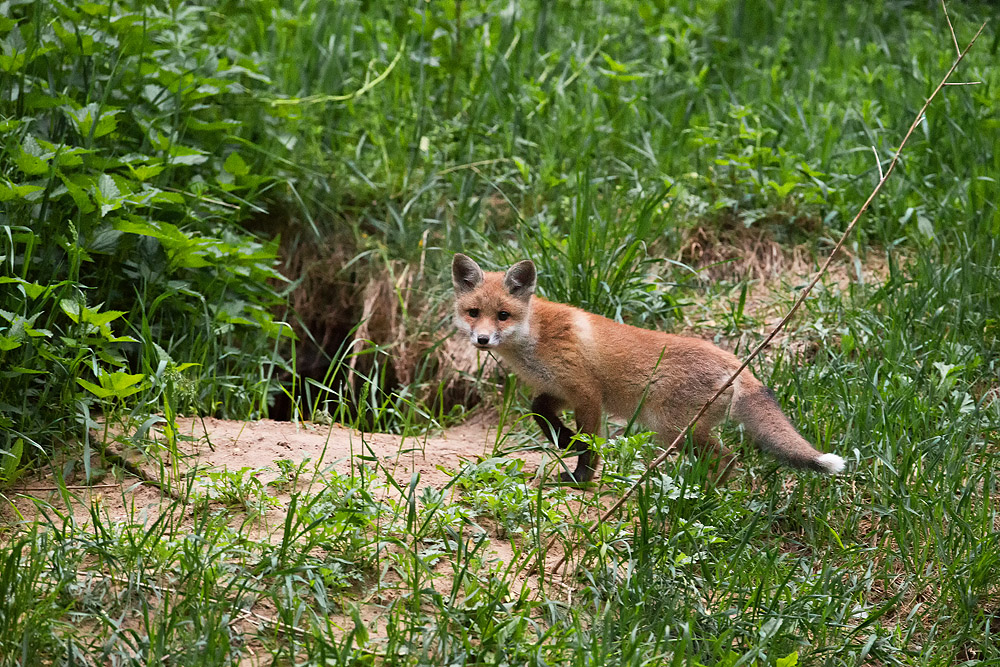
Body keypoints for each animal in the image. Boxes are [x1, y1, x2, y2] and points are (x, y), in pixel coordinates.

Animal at [451, 253, 846, 483]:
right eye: (474, 313)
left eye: (503, 315)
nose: (482, 339)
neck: (533, 339)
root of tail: (735, 361)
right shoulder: (558, 391)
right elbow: (540, 412)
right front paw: (563, 439)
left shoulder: (588, 394)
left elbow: (590, 444)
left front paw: (581, 478)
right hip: (678, 432)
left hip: (672, 429)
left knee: (729, 459)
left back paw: (705, 495)